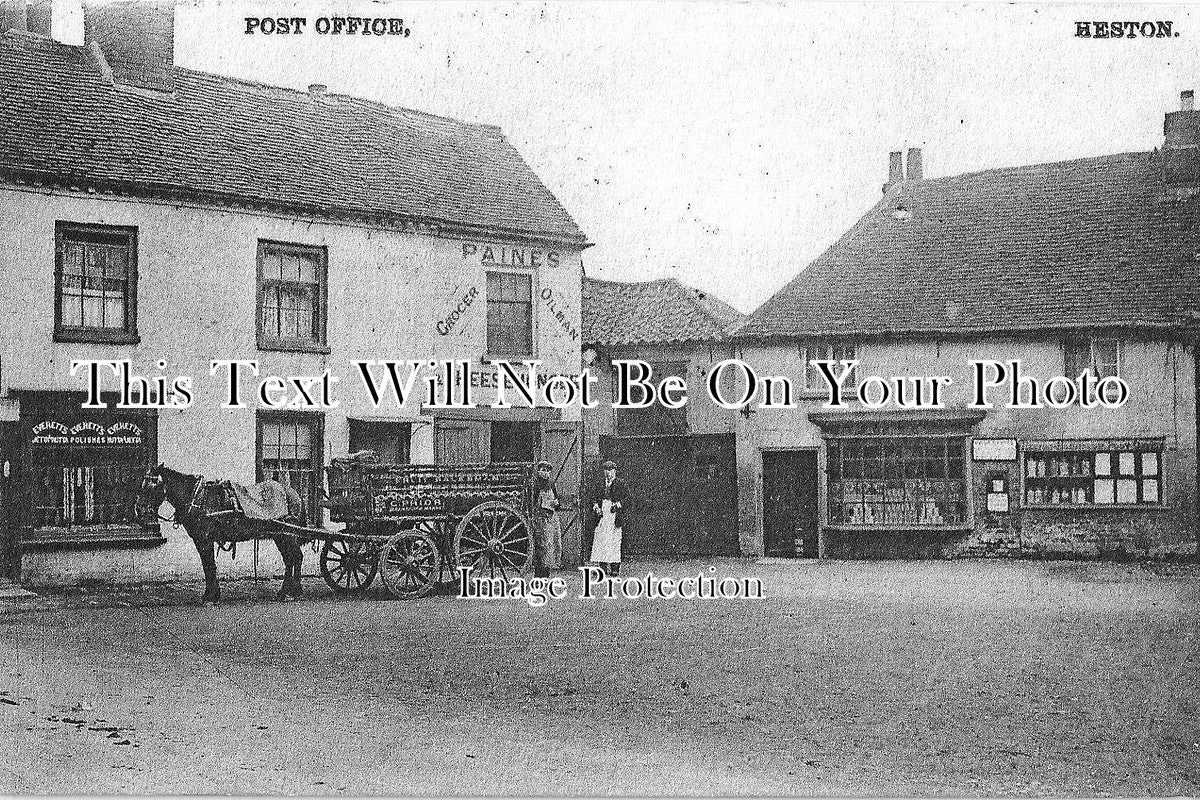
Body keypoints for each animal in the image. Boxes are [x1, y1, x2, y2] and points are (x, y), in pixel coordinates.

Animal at [135, 465, 309, 604]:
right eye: (142, 484)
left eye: (153, 486)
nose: (139, 511)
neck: (197, 498)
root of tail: (293, 493)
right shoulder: (200, 540)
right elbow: (208, 566)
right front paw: (212, 594)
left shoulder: (204, 539)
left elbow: (209, 565)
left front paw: (210, 596)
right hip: (281, 535)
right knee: (289, 559)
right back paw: (284, 592)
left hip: (287, 535)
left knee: (297, 557)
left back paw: (295, 591)